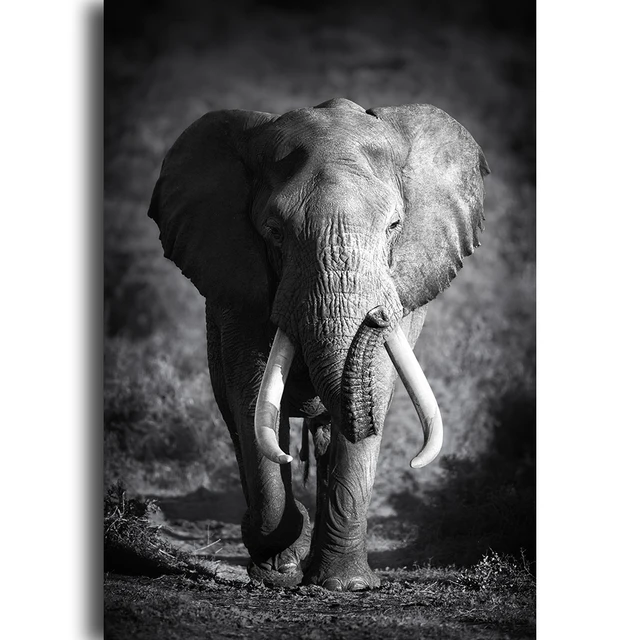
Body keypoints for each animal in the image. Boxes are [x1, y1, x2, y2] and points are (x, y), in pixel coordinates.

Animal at [148, 97, 489, 591]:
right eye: (274, 231)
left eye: (394, 226)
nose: (377, 315)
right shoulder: (238, 287)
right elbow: (251, 395)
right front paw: (277, 568)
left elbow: (375, 389)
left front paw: (346, 585)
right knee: (237, 419)